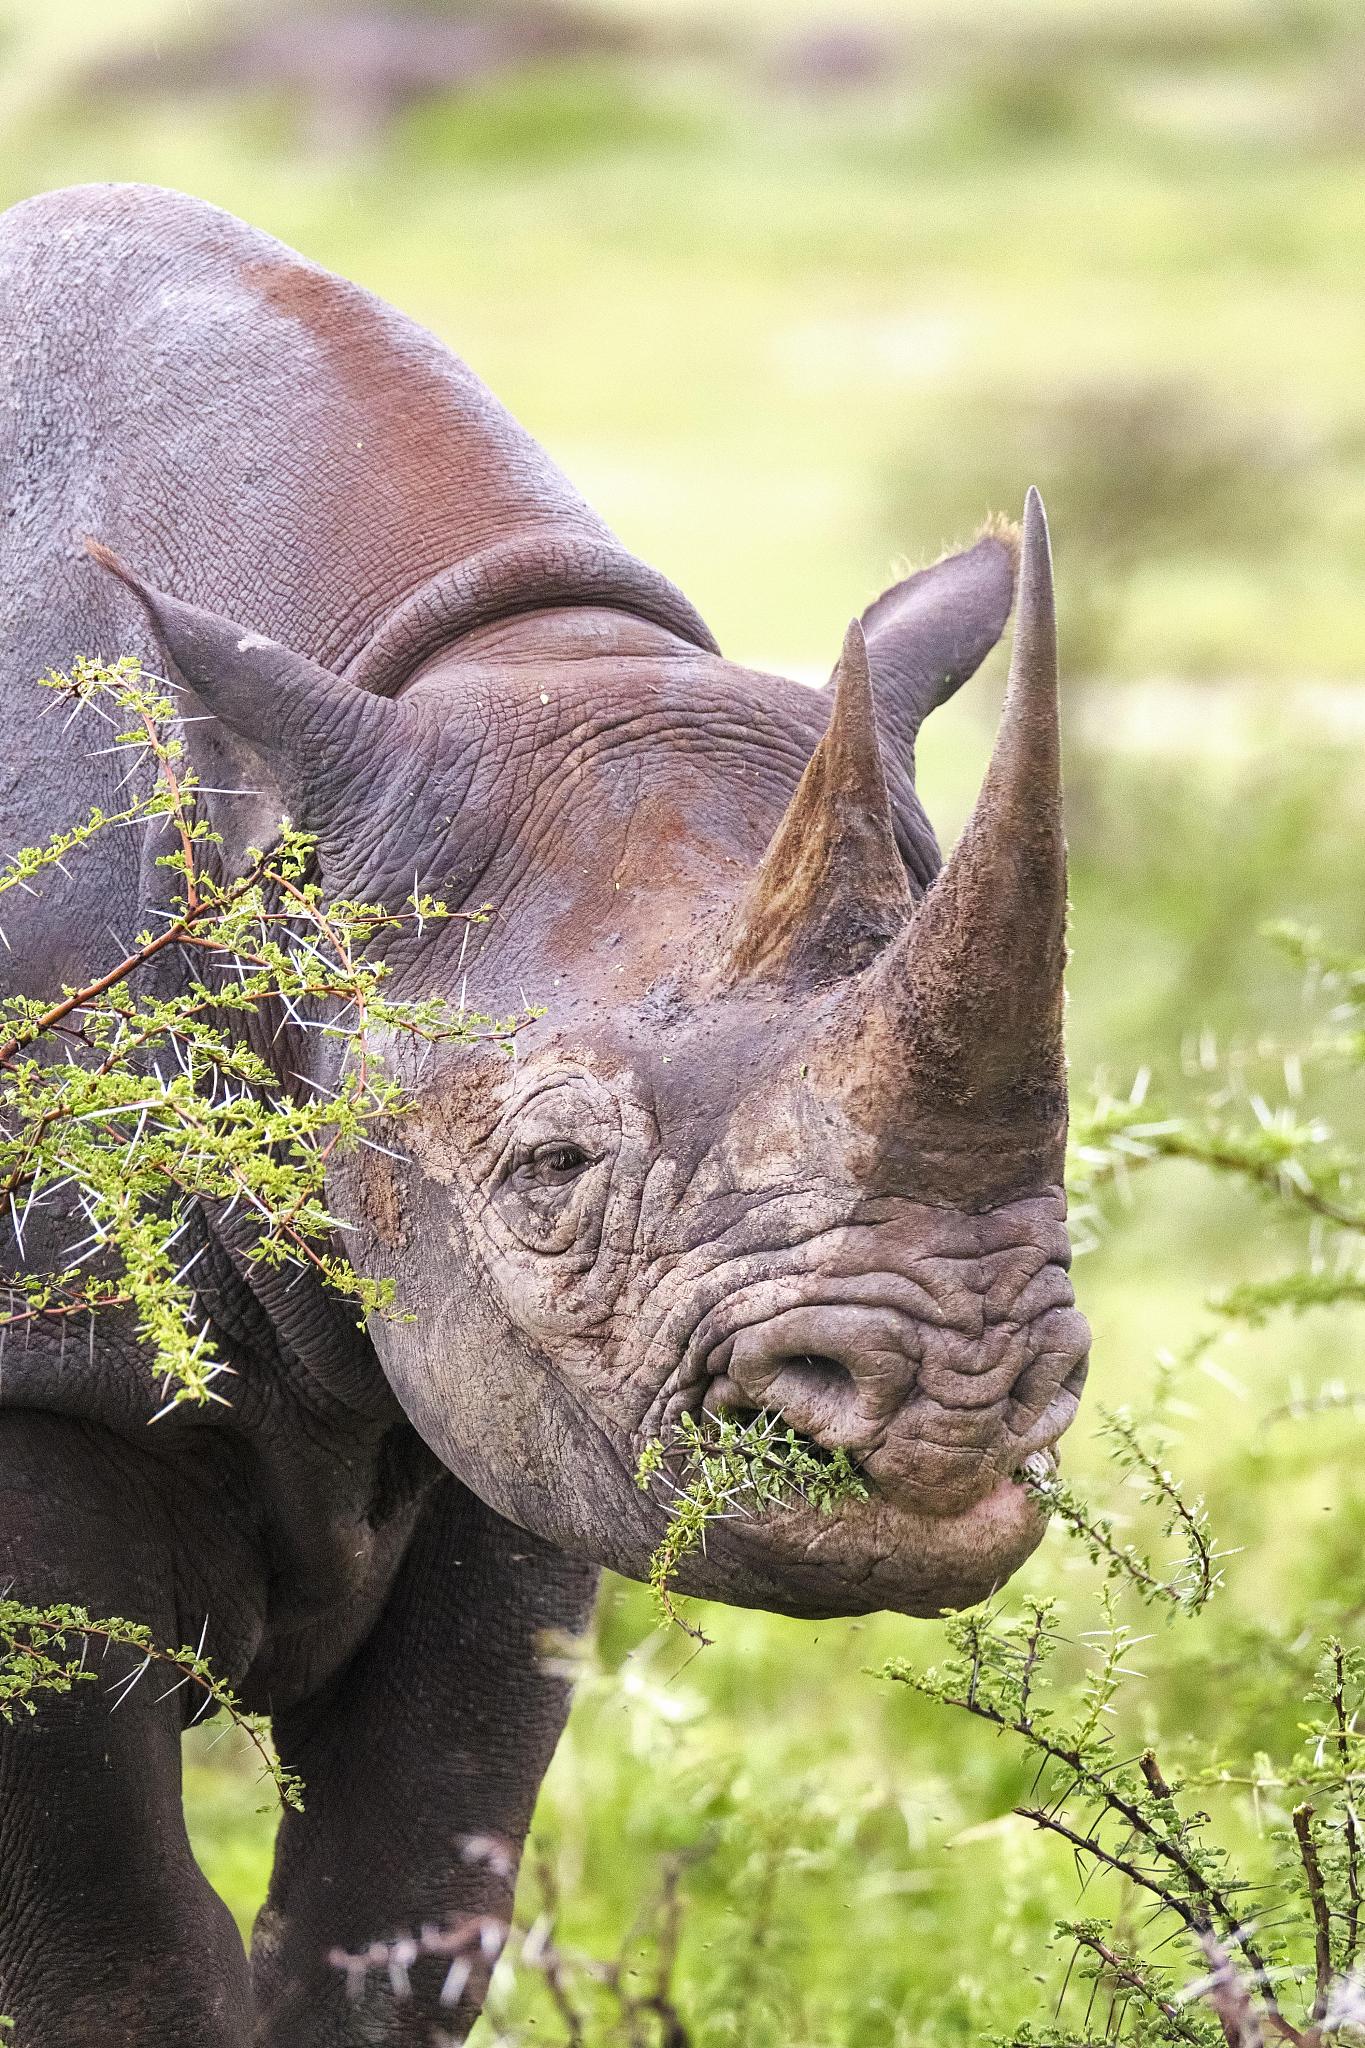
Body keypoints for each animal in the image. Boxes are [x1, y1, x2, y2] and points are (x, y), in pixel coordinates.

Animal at [0, 183, 1089, 2044]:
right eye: (550, 1168)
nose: (952, 1414)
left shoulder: (514, 1408)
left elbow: (404, 1895)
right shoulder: (40, 1375)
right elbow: (116, 1957)